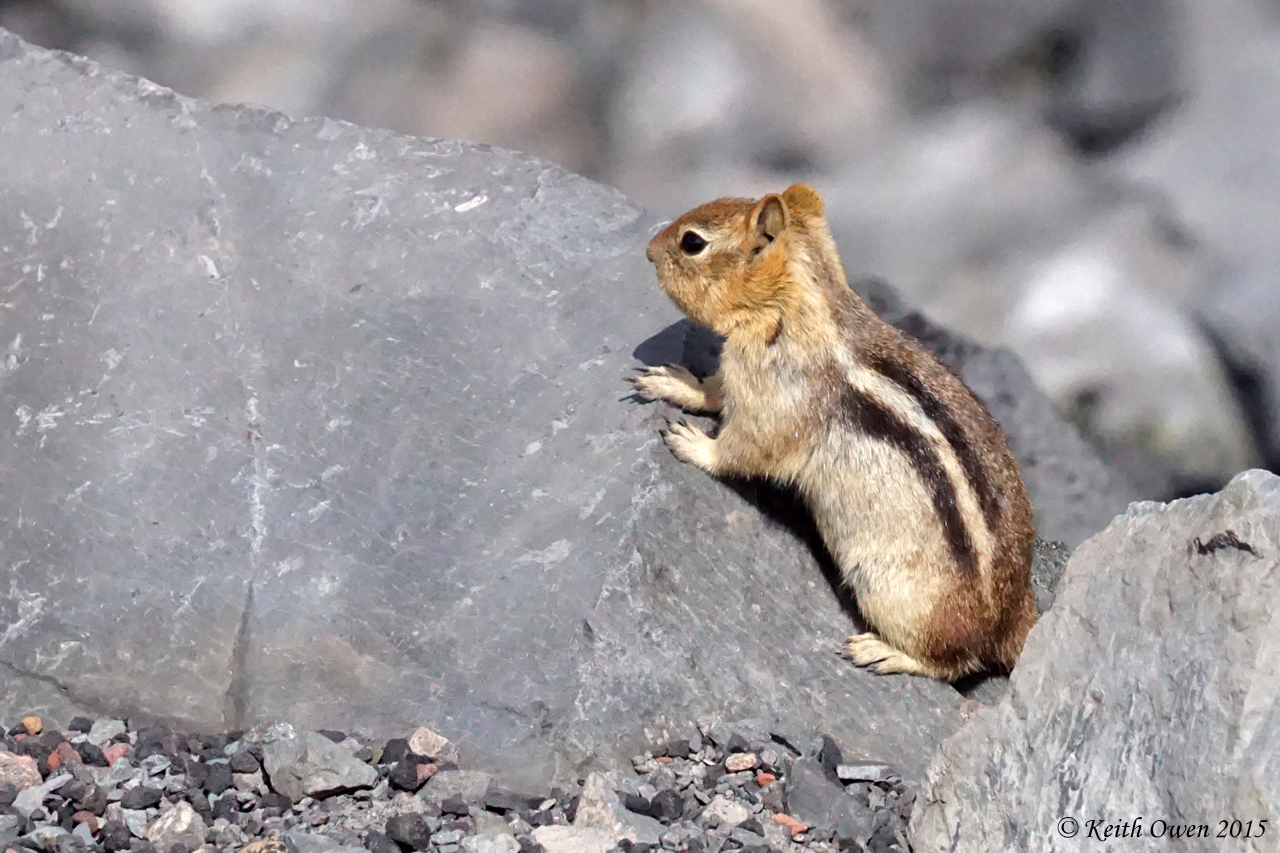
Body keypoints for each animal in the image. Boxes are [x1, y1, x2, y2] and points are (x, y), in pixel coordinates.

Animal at [630, 183, 1038, 681]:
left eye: (692, 243)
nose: (649, 251)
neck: (797, 305)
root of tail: (1015, 616)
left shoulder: (773, 401)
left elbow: (744, 450)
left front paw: (691, 443)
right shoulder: (742, 377)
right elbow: (714, 391)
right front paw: (674, 382)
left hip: (893, 593)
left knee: (953, 661)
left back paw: (883, 652)